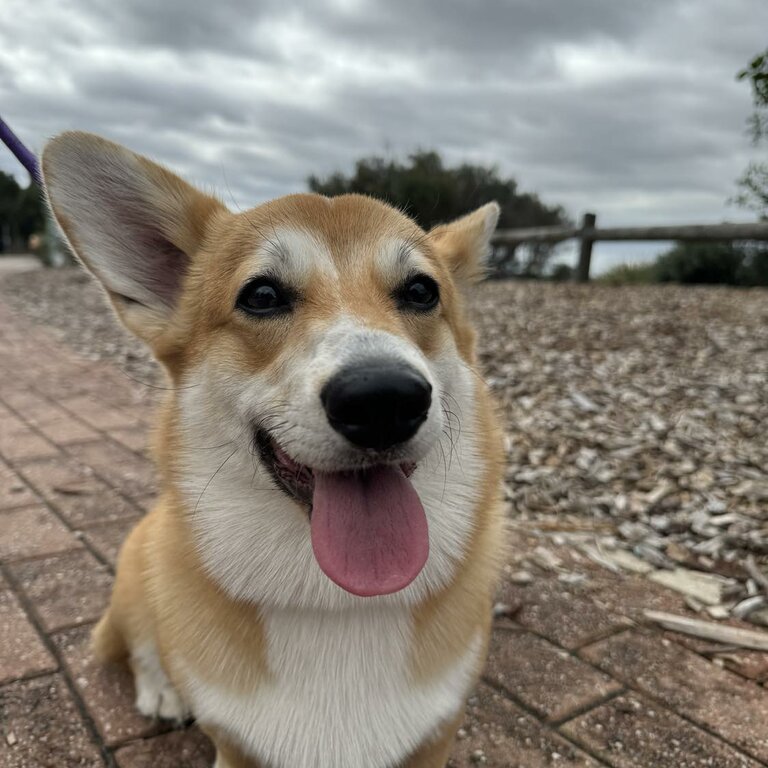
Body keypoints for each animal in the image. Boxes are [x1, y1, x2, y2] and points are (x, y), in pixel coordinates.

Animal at [42, 134, 504, 768]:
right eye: (261, 295)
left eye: (421, 291)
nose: (383, 399)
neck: (335, 606)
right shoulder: (236, 746)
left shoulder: (437, 736)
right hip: (139, 566)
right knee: (142, 643)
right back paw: (162, 689)